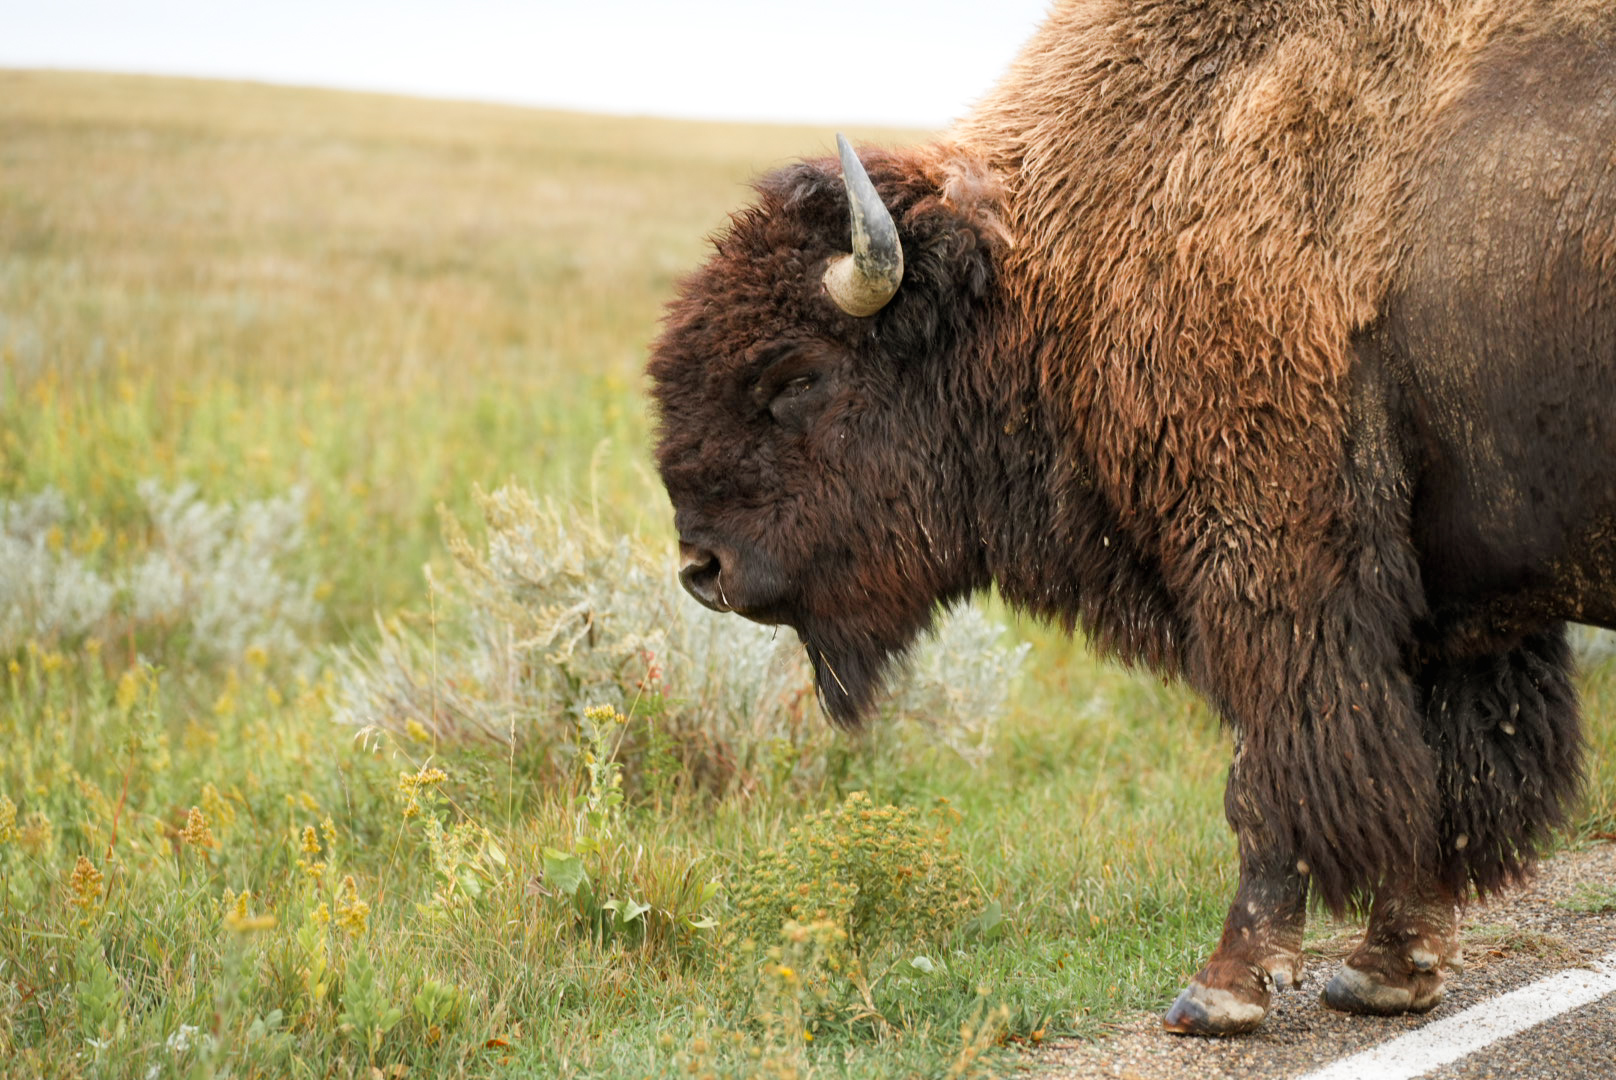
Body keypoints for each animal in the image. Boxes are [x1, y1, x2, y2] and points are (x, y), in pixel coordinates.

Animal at [646, 0, 1616, 1036]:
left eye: (797, 377)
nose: (702, 568)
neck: (1050, 271)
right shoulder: (1451, 611)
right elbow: (1440, 781)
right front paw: (1390, 972)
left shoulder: (1274, 579)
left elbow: (1277, 782)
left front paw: (1221, 989)